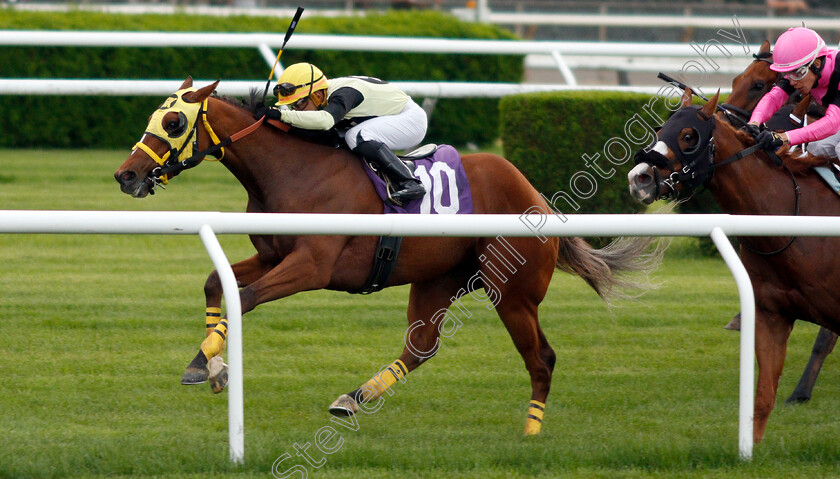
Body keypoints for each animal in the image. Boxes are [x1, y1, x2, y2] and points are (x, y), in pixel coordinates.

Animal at [113, 78, 664, 436]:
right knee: (420, 348)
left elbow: (244, 298)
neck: (292, 169)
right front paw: (202, 363)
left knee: (541, 357)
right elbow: (216, 281)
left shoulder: (312, 266)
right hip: (439, 279)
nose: (127, 175)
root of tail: (539, 199)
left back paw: (530, 433)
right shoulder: (274, 256)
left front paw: (214, 364)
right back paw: (352, 400)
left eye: (174, 120)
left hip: (512, 292)